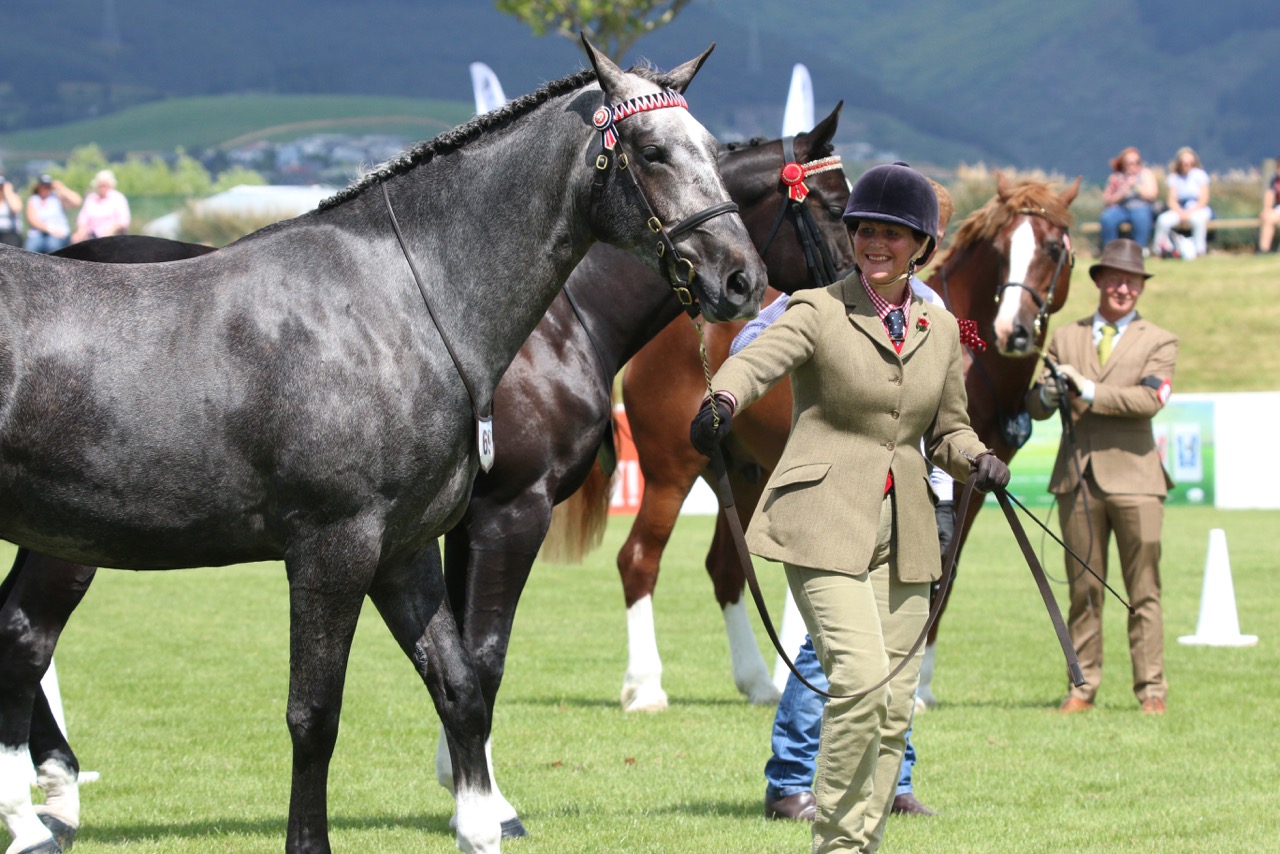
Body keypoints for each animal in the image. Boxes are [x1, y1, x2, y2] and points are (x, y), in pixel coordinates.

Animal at [614, 171, 1075, 706]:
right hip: (671, 470)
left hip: (744, 478)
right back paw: (646, 687)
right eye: (1002, 249)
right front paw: (913, 688)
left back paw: (758, 683)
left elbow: (943, 573)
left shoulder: (974, 489)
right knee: (639, 559)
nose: (1014, 331)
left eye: (1052, 247)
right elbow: (936, 575)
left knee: (725, 571)